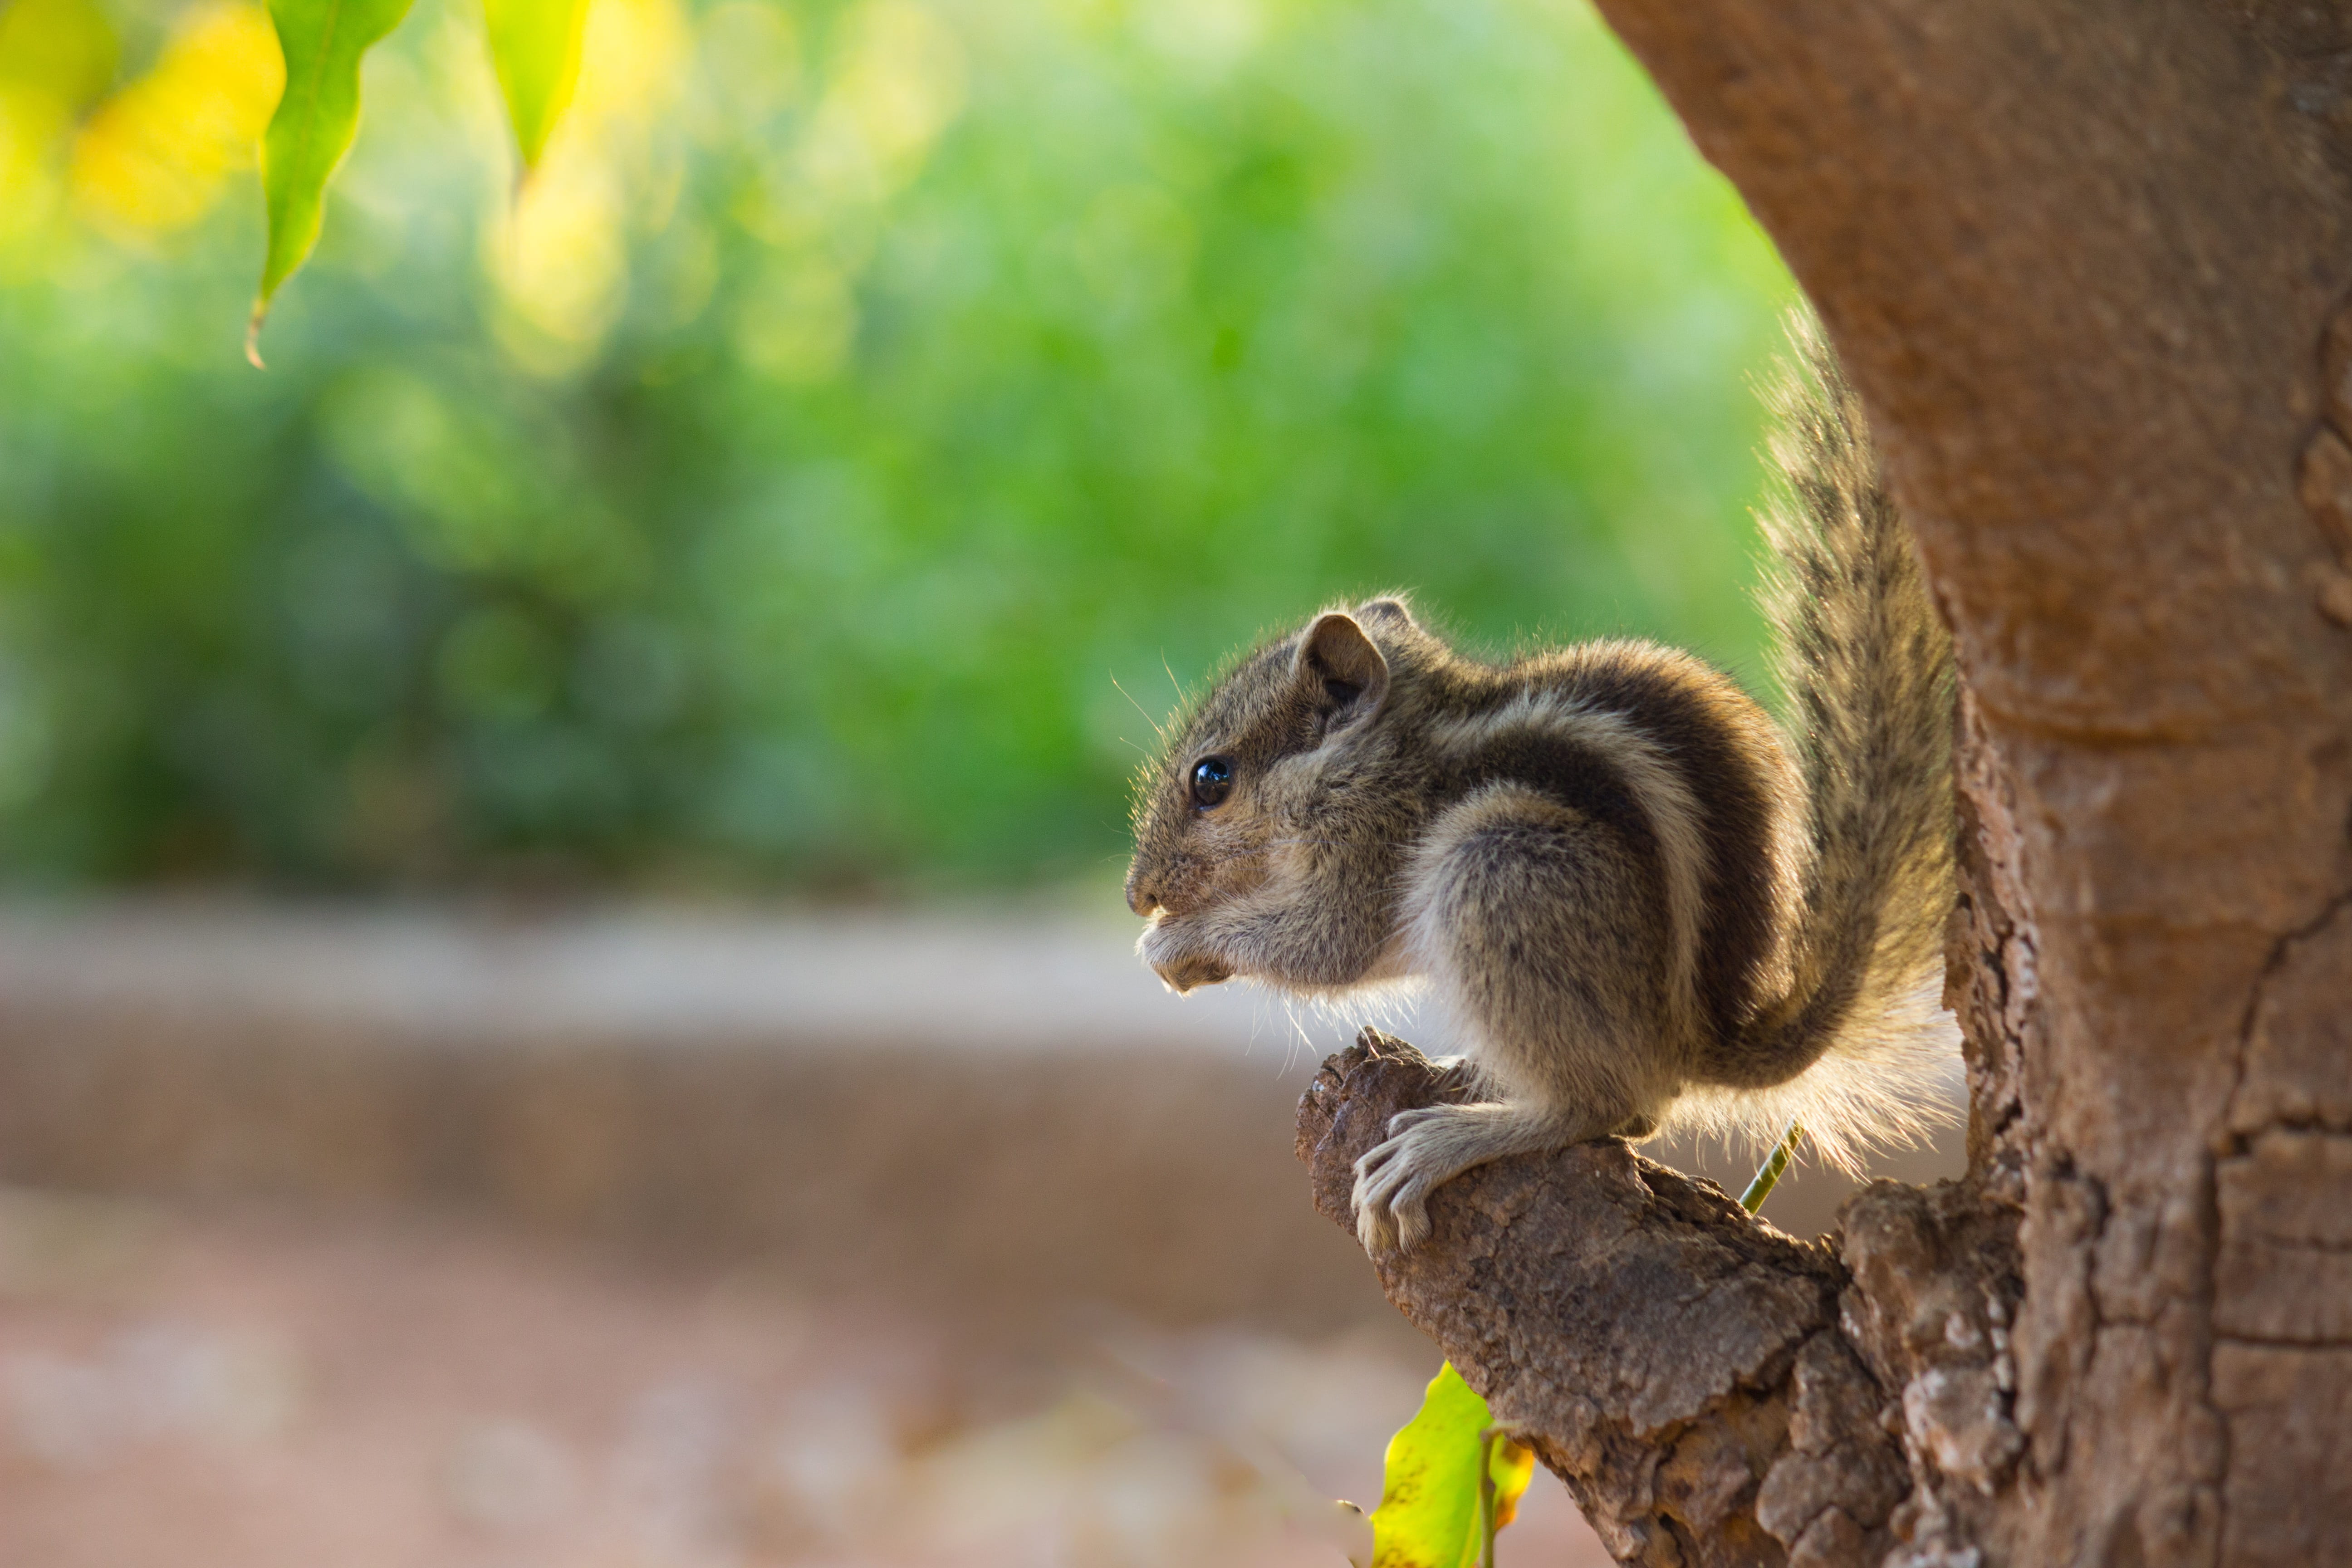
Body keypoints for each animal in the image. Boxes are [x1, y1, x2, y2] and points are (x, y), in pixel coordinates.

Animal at [1122, 313, 1958, 1254]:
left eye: (1210, 779)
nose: (1135, 892)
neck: (1390, 747)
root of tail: (1695, 1043)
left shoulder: (1370, 850)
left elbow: (1324, 946)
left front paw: (1176, 944)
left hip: (1497, 866)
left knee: (1613, 1108)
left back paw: (1454, 1138)